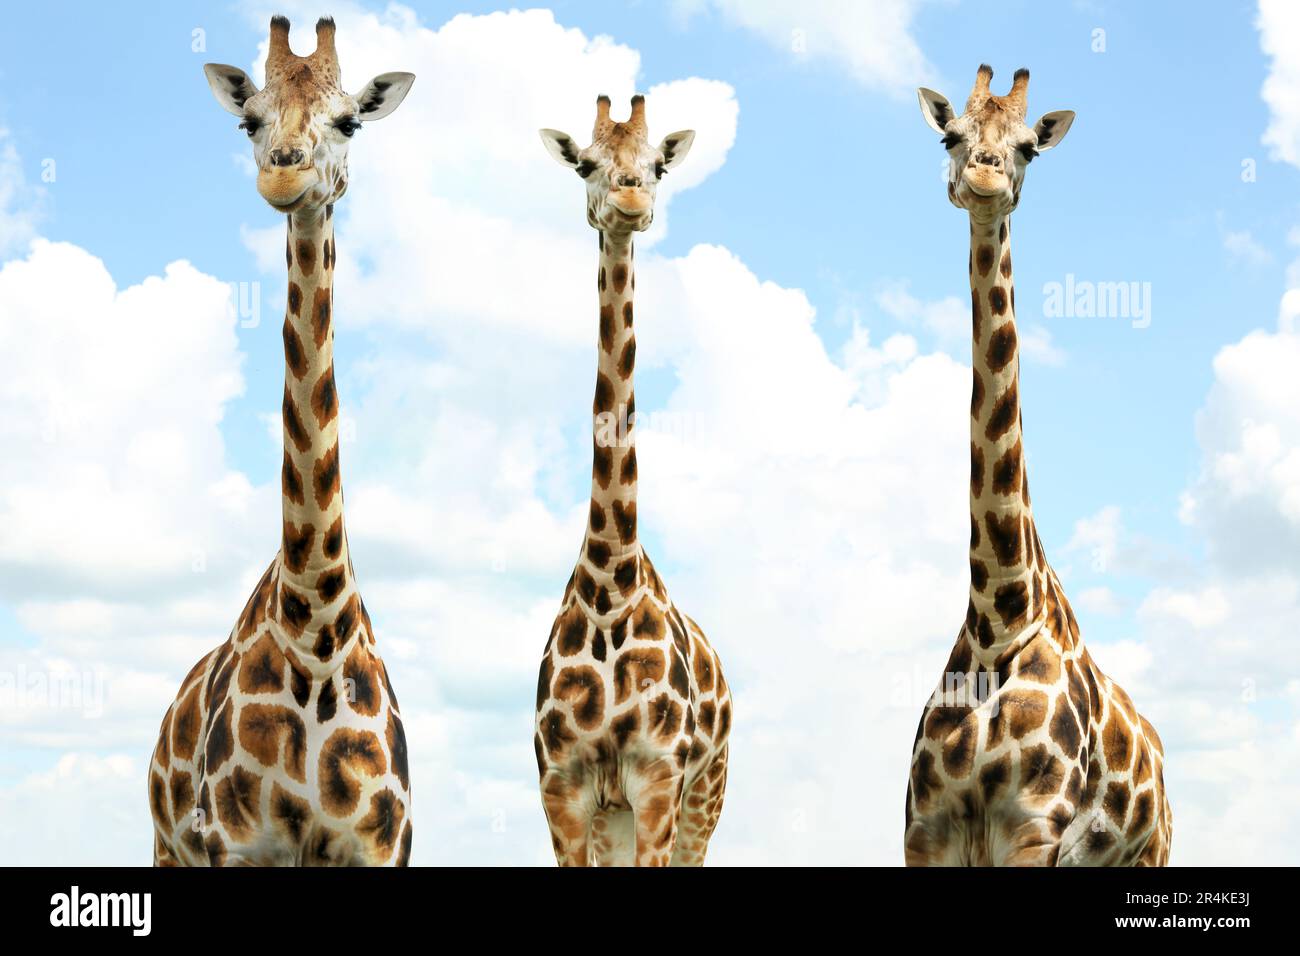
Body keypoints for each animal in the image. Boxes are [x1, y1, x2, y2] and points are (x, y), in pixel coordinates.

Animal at [148, 16, 416, 866]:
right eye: (250, 122)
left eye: (350, 120)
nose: (281, 177)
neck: (316, 623)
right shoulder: (235, 845)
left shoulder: (379, 846)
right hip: (166, 846)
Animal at [533, 96, 731, 867]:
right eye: (586, 163)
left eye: (657, 166)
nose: (631, 199)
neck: (609, 582)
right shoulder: (565, 789)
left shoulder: (658, 783)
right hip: (614, 818)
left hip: (704, 798)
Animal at [904, 66, 1171, 866]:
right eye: (950, 136)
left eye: (1029, 147)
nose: (987, 175)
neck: (1000, 614)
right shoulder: (926, 832)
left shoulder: (1035, 828)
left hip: (1151, 854)